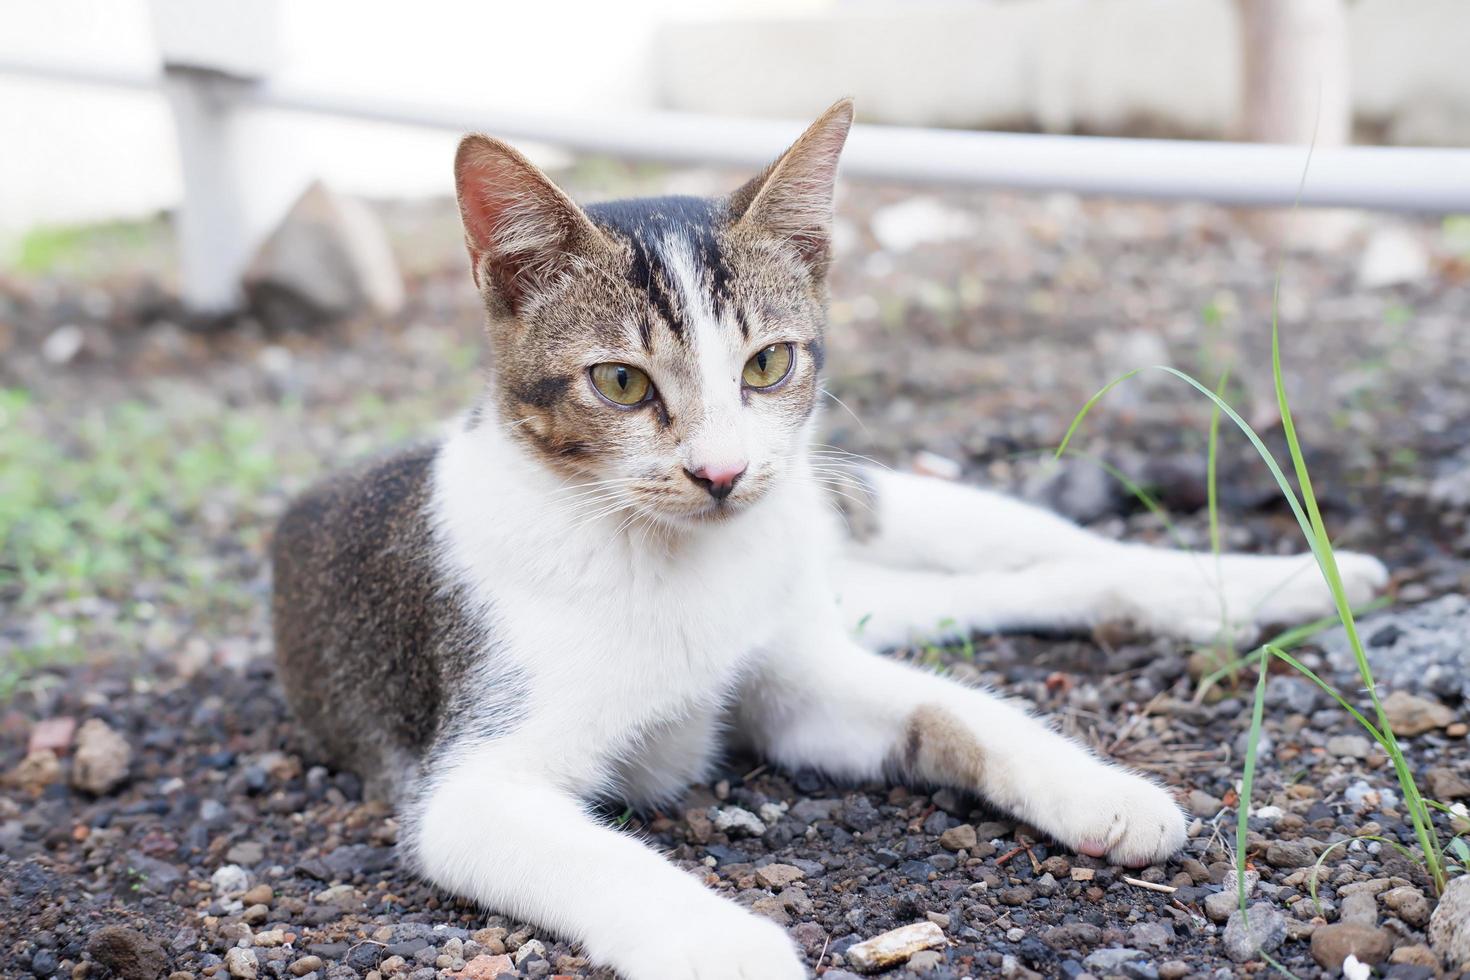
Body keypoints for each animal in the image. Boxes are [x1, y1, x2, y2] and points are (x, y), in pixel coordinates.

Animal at [273, 101, 1387, 980]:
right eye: (621, 381)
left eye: (768, 363)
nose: (722, 474)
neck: (676, 560)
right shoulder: (466, 782)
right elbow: (591, 849)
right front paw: (722, 941)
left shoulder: (794, 676)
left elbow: (957, 708)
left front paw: (1099, 786)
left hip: (861, 508)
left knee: (1052, 550)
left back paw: (1274, 580)